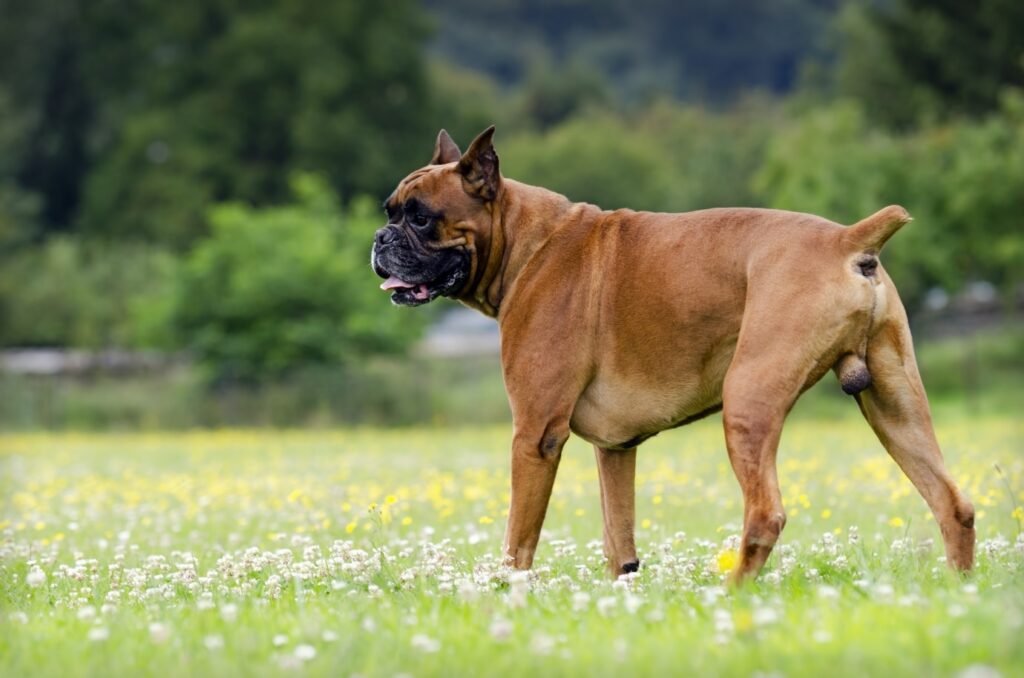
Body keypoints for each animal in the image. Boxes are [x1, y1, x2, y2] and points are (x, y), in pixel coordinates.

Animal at [370, 127, 974, 585]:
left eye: (420, 217)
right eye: (390, 211)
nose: (379, 238)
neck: (525, 243)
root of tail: (847, 239)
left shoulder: (536, 435)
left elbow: (519, 539)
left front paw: (506, 593)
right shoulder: (614, 451)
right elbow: (619, 541)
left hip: (748, 401)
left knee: (765, 516)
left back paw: (731, 594)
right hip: (896, 408)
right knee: (953, 504)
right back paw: (958, 590)